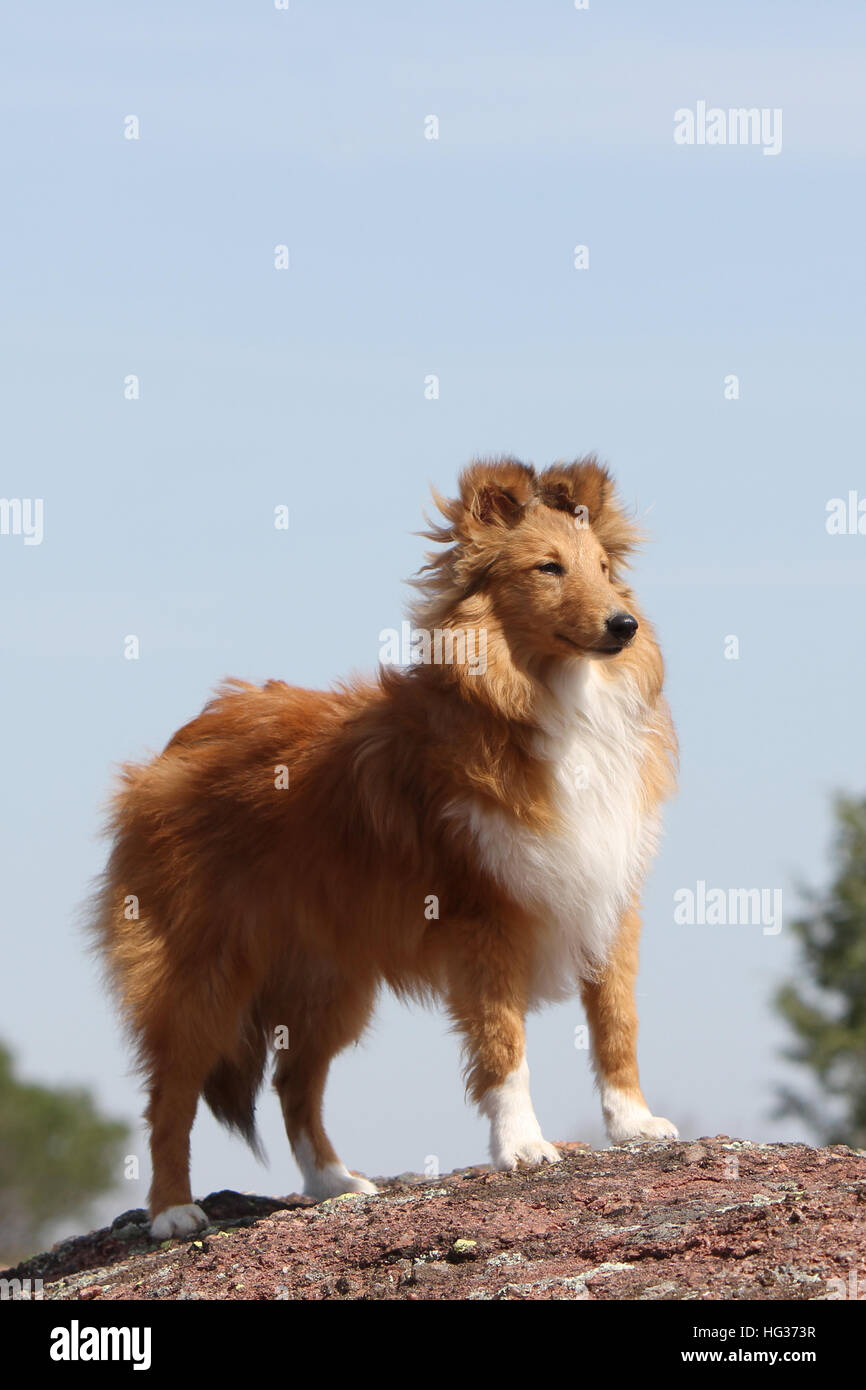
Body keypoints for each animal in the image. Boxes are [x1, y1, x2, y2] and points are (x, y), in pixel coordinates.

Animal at [91, 455, 681, 1239]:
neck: (550, 698)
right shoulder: (483, 920)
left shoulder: (608, 897)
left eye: (607, 569)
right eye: (549, 568)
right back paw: (173, 1211)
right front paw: (523, 1147)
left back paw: (333, 1183)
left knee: (293, 1082)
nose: (625, 625)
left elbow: (616, 1023)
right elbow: (504, 1045)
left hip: (328, 981)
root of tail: (173, 750)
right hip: (202, 975)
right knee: (170, 1095)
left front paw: (634, 1125)